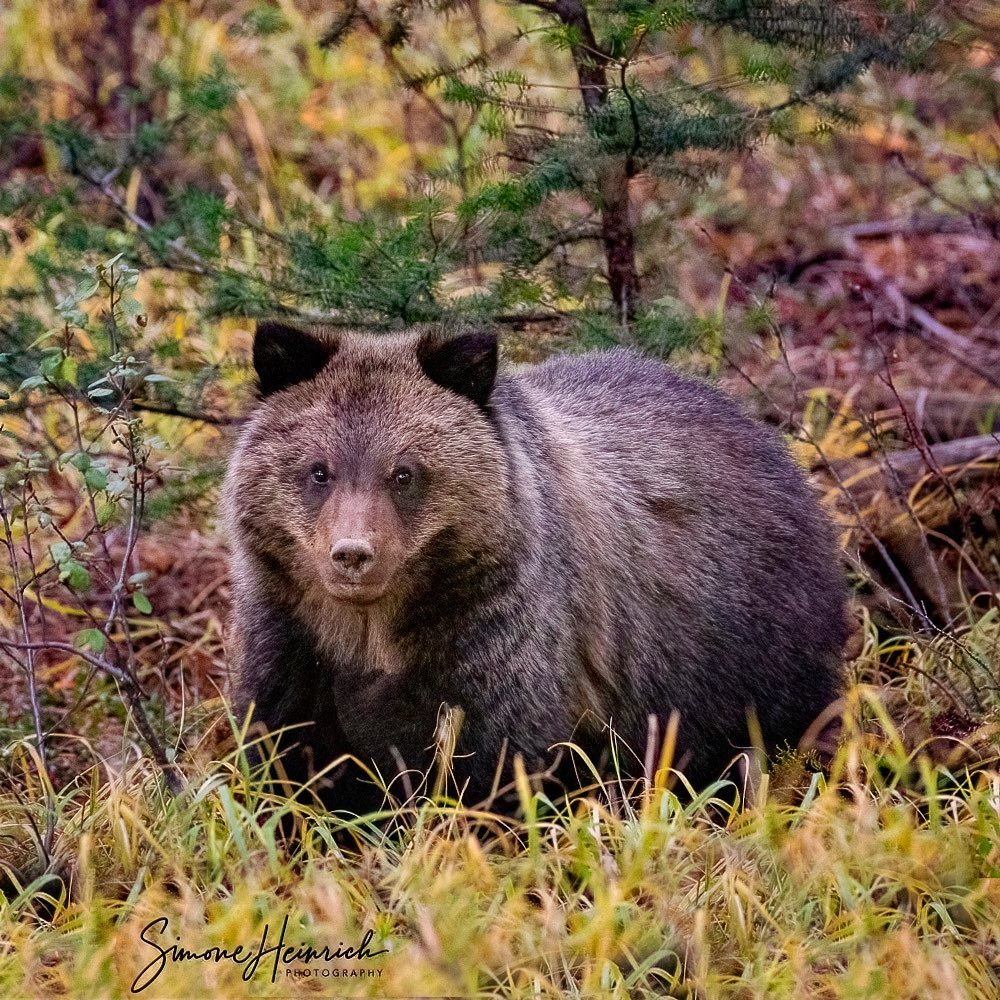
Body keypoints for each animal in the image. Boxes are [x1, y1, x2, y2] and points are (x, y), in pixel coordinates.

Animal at [223, 324, 848, 816]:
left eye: (404, 472)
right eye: (318, 470)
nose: (353, 554)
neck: (372, 631)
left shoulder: (493, 635)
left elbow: (492, 766)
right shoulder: (293, 640)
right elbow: (290, 760)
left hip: (746, 654)